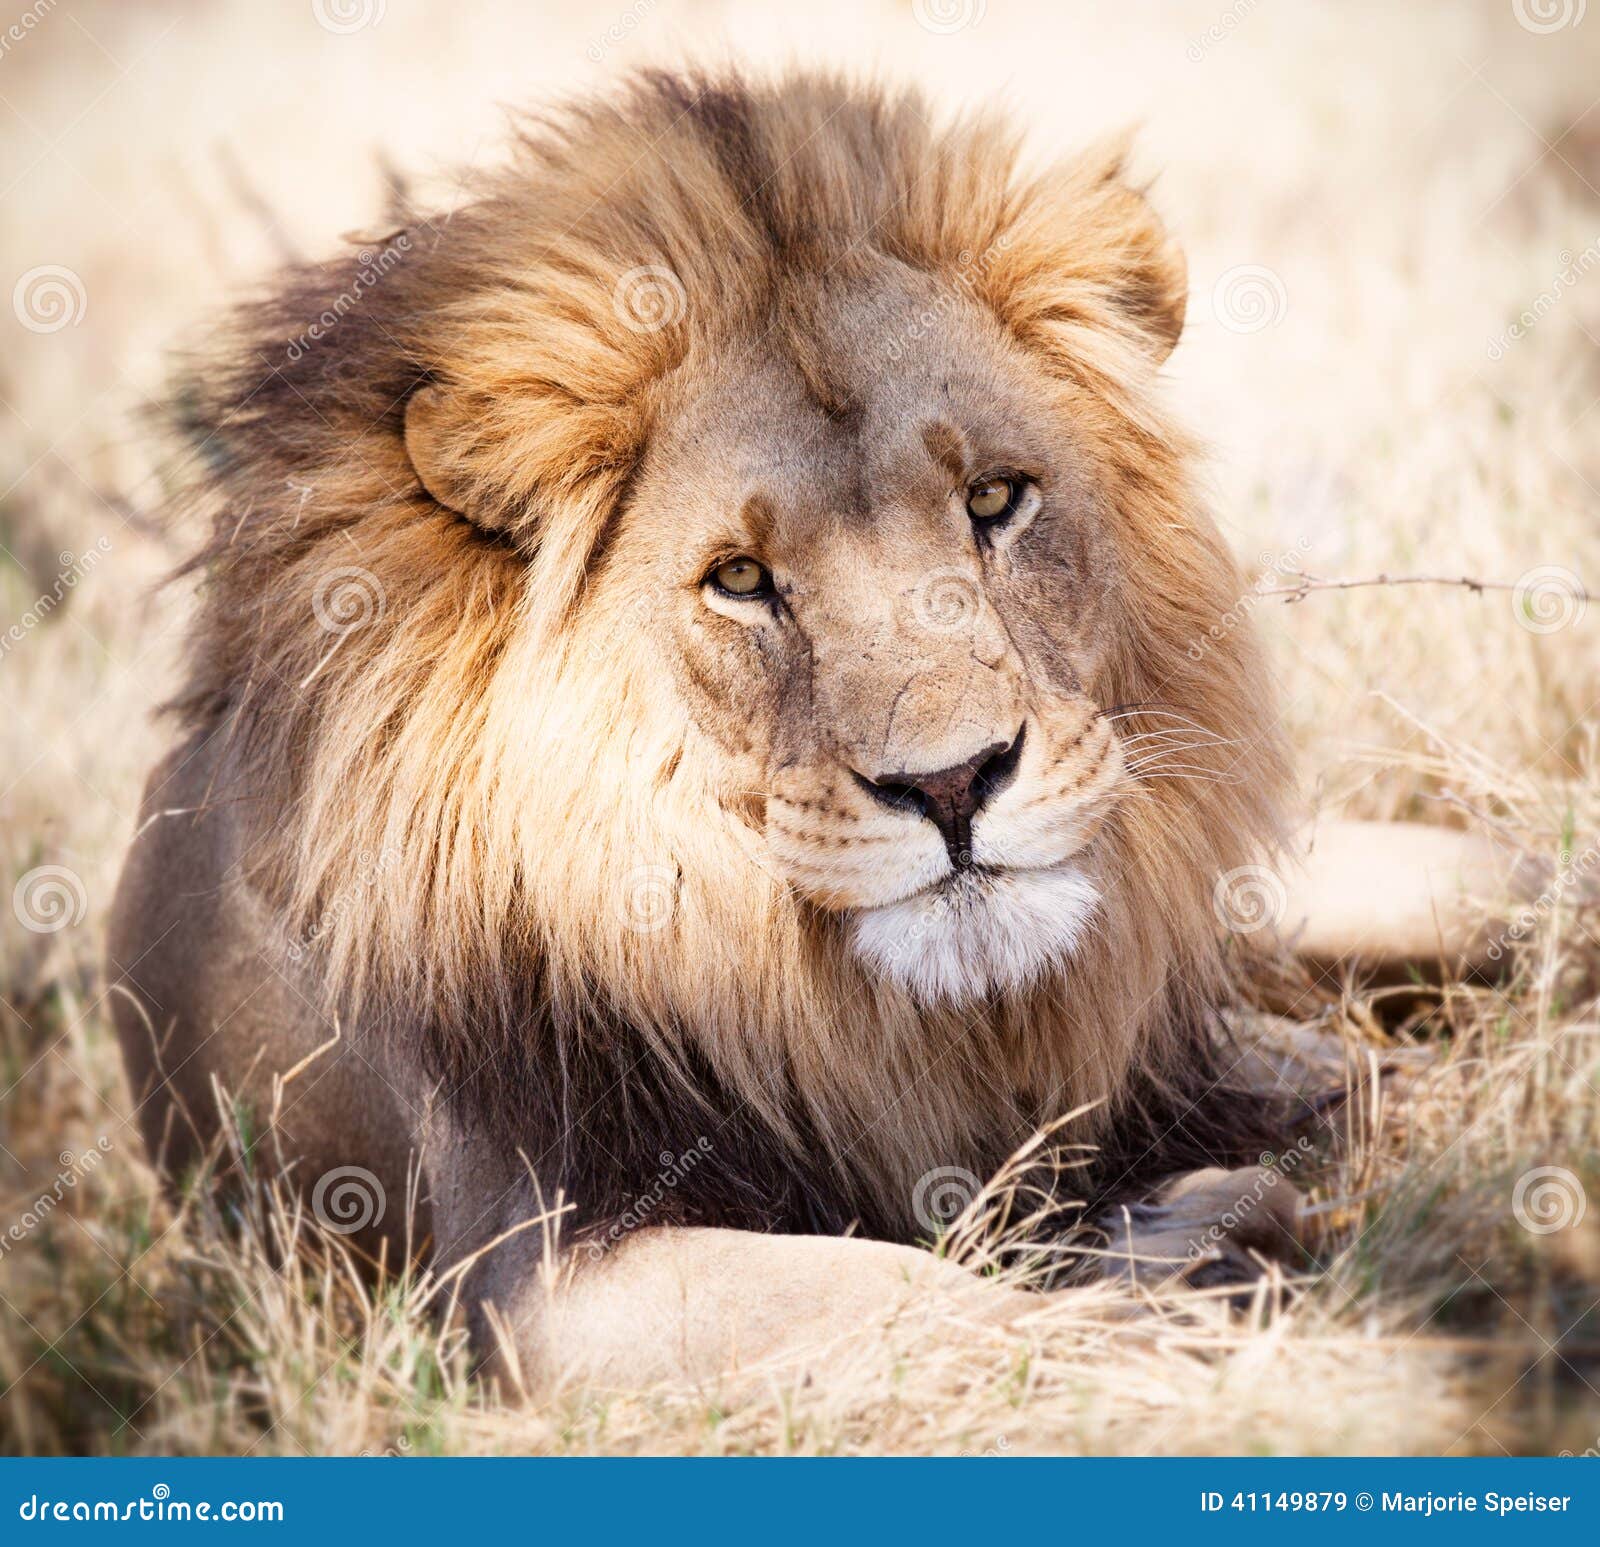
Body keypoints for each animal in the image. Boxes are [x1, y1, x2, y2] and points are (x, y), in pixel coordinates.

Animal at [106, 69, 1504, 1388]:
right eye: (738, 578)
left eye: (994, 499)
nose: (954, 784)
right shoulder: (517, 1283)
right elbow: (917, 1296)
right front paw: (1179, 1272)